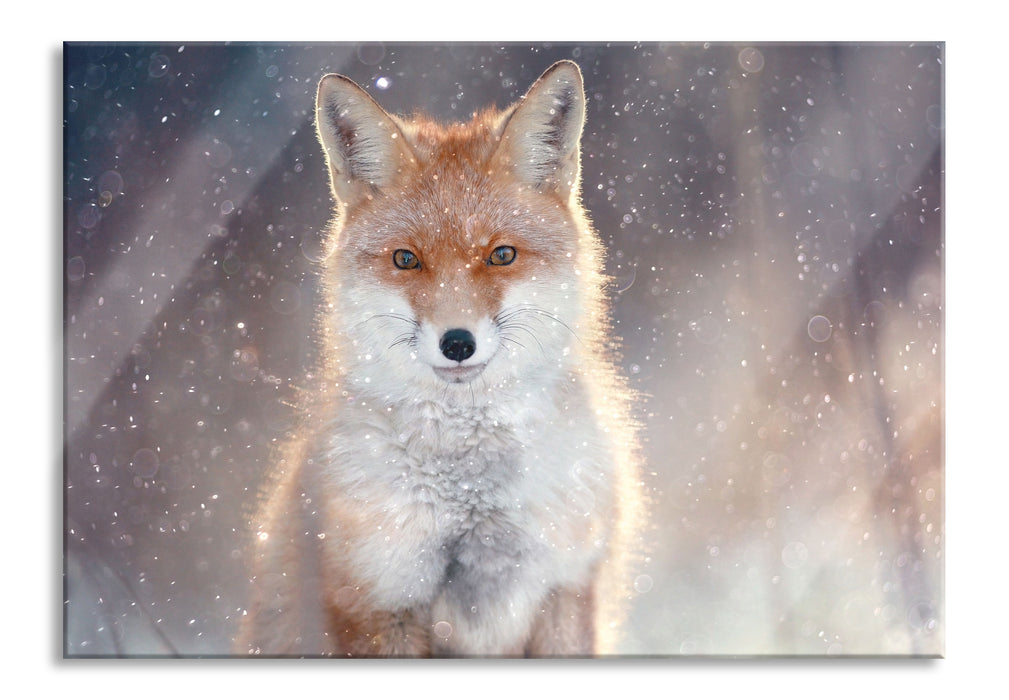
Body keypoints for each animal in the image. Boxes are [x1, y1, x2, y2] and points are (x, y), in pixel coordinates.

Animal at [236, 60, 644, 657]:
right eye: (407, 260)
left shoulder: (566, 585)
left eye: (501, 255)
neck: (471, 495)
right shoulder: (378, 597)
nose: (457, 343)